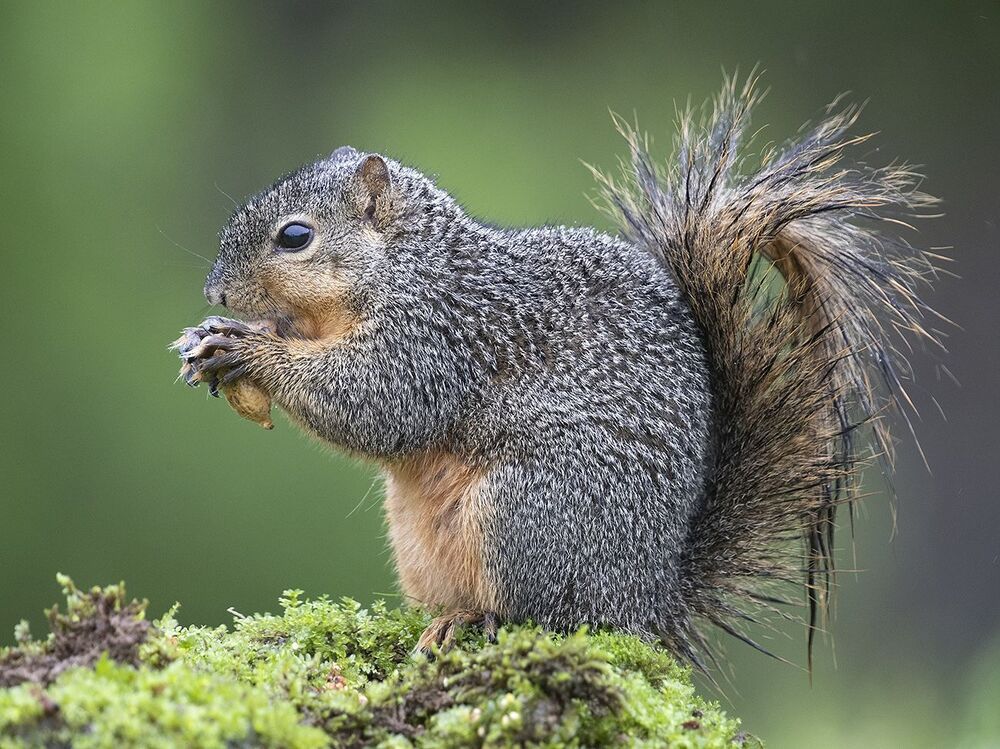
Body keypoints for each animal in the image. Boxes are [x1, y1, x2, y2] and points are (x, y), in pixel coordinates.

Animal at [174, 78, 938, 671]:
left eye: (295, 236)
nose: (215, 292)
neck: (409, 265)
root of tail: (646, 600)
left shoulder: (440, 339)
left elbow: (377, 403)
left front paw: (251, 350)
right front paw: (212, 338)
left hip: (525, 512)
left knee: (541, 616)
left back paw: (473, 623)